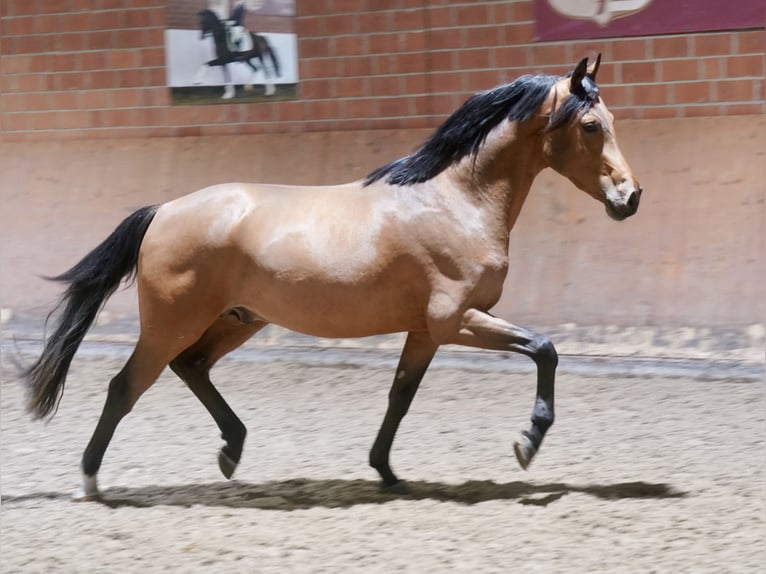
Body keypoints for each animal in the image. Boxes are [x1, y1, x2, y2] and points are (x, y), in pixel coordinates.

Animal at [25, 56, 640, 502]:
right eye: (591, 126)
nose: (630, 198)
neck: (458, 200)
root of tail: (162, 211)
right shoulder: (456, 320)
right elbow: (545, 349)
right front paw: (527, 443)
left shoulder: (426, 331)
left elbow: (400, 397)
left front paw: (387, 473)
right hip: (172, 324)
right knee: (125, 387)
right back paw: (92, 483)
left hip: (238, 320)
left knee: (192, 367)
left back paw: (232, 451)